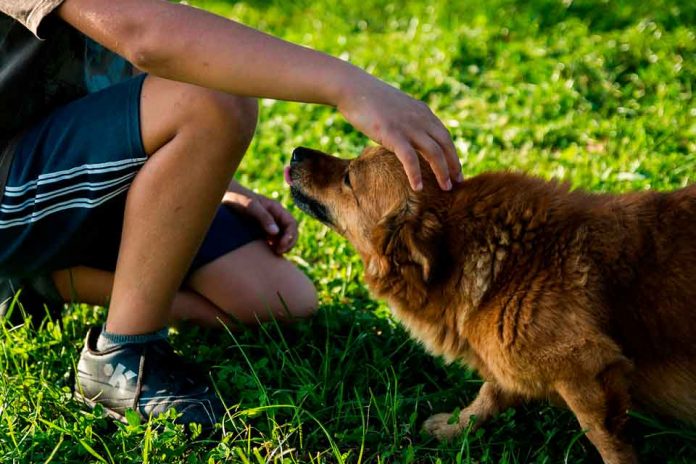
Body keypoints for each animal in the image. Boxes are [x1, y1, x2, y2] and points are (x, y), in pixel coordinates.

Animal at [286, 145, 696, 464]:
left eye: (348, 177)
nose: (296, 152)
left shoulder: (587, 368)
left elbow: (604, 438)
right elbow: (490, 393)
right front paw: (456, 427)